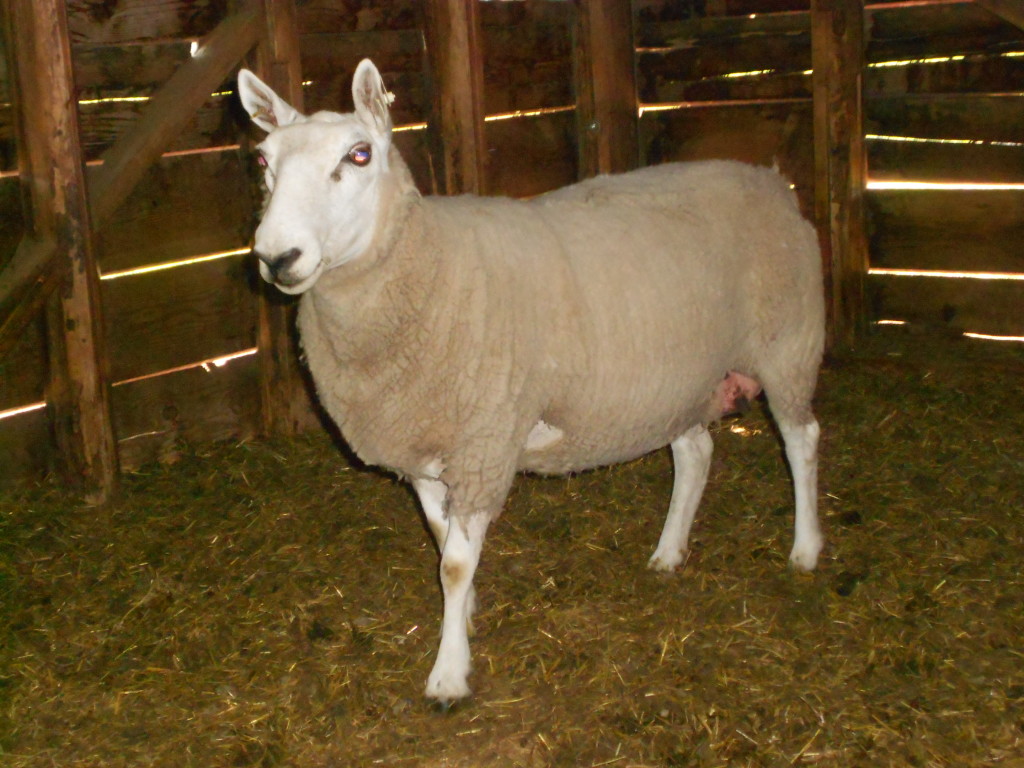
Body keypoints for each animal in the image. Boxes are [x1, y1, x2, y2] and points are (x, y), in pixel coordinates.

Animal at [237, 59, 826, 705]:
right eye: (263, 160)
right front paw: (466, 617)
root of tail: (770, 179)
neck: (427, 266)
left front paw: (449, 673)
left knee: (802, 440)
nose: (275, 257)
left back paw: (805, 548)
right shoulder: (425, 448)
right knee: (695, 452)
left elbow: (453, 565)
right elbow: (442, 543)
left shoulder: (485, 442)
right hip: (673, 380)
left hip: (787, 346)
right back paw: (669, 552)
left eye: (360, 154)